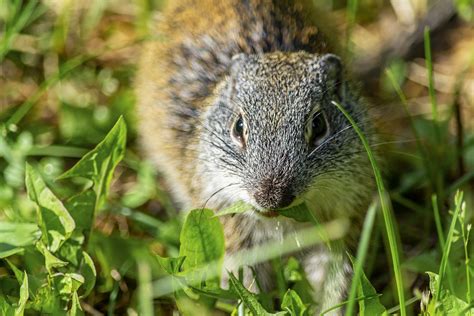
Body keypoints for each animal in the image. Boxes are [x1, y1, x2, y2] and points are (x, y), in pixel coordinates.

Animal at [135, 0, 376, 312]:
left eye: (319, 124)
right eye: (238, 126)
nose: (272, 198)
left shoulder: (339, 225)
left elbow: (335, 282)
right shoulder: (235, 234)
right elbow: (247, 285)